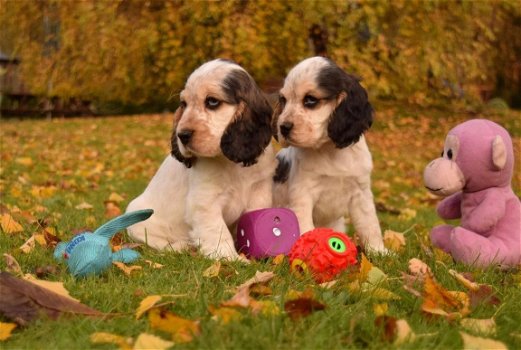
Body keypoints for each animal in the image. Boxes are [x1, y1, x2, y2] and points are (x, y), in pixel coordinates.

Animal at [125, 58, 276, 258]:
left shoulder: (260, 192)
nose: (182, 135)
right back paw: (180, 246)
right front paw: (229, 257)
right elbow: (217, 230)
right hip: (138, 219)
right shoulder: (205, 201)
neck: (230, 162)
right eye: (184, 103)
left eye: (212, 101)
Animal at [272, 56, 386, 254]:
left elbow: (370, 225)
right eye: (284, 100)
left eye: (310, 100)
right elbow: (305, 228)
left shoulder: (361, 194)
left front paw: (381, 253)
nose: (283, 127)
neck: (330, 150)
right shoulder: (302, 194)